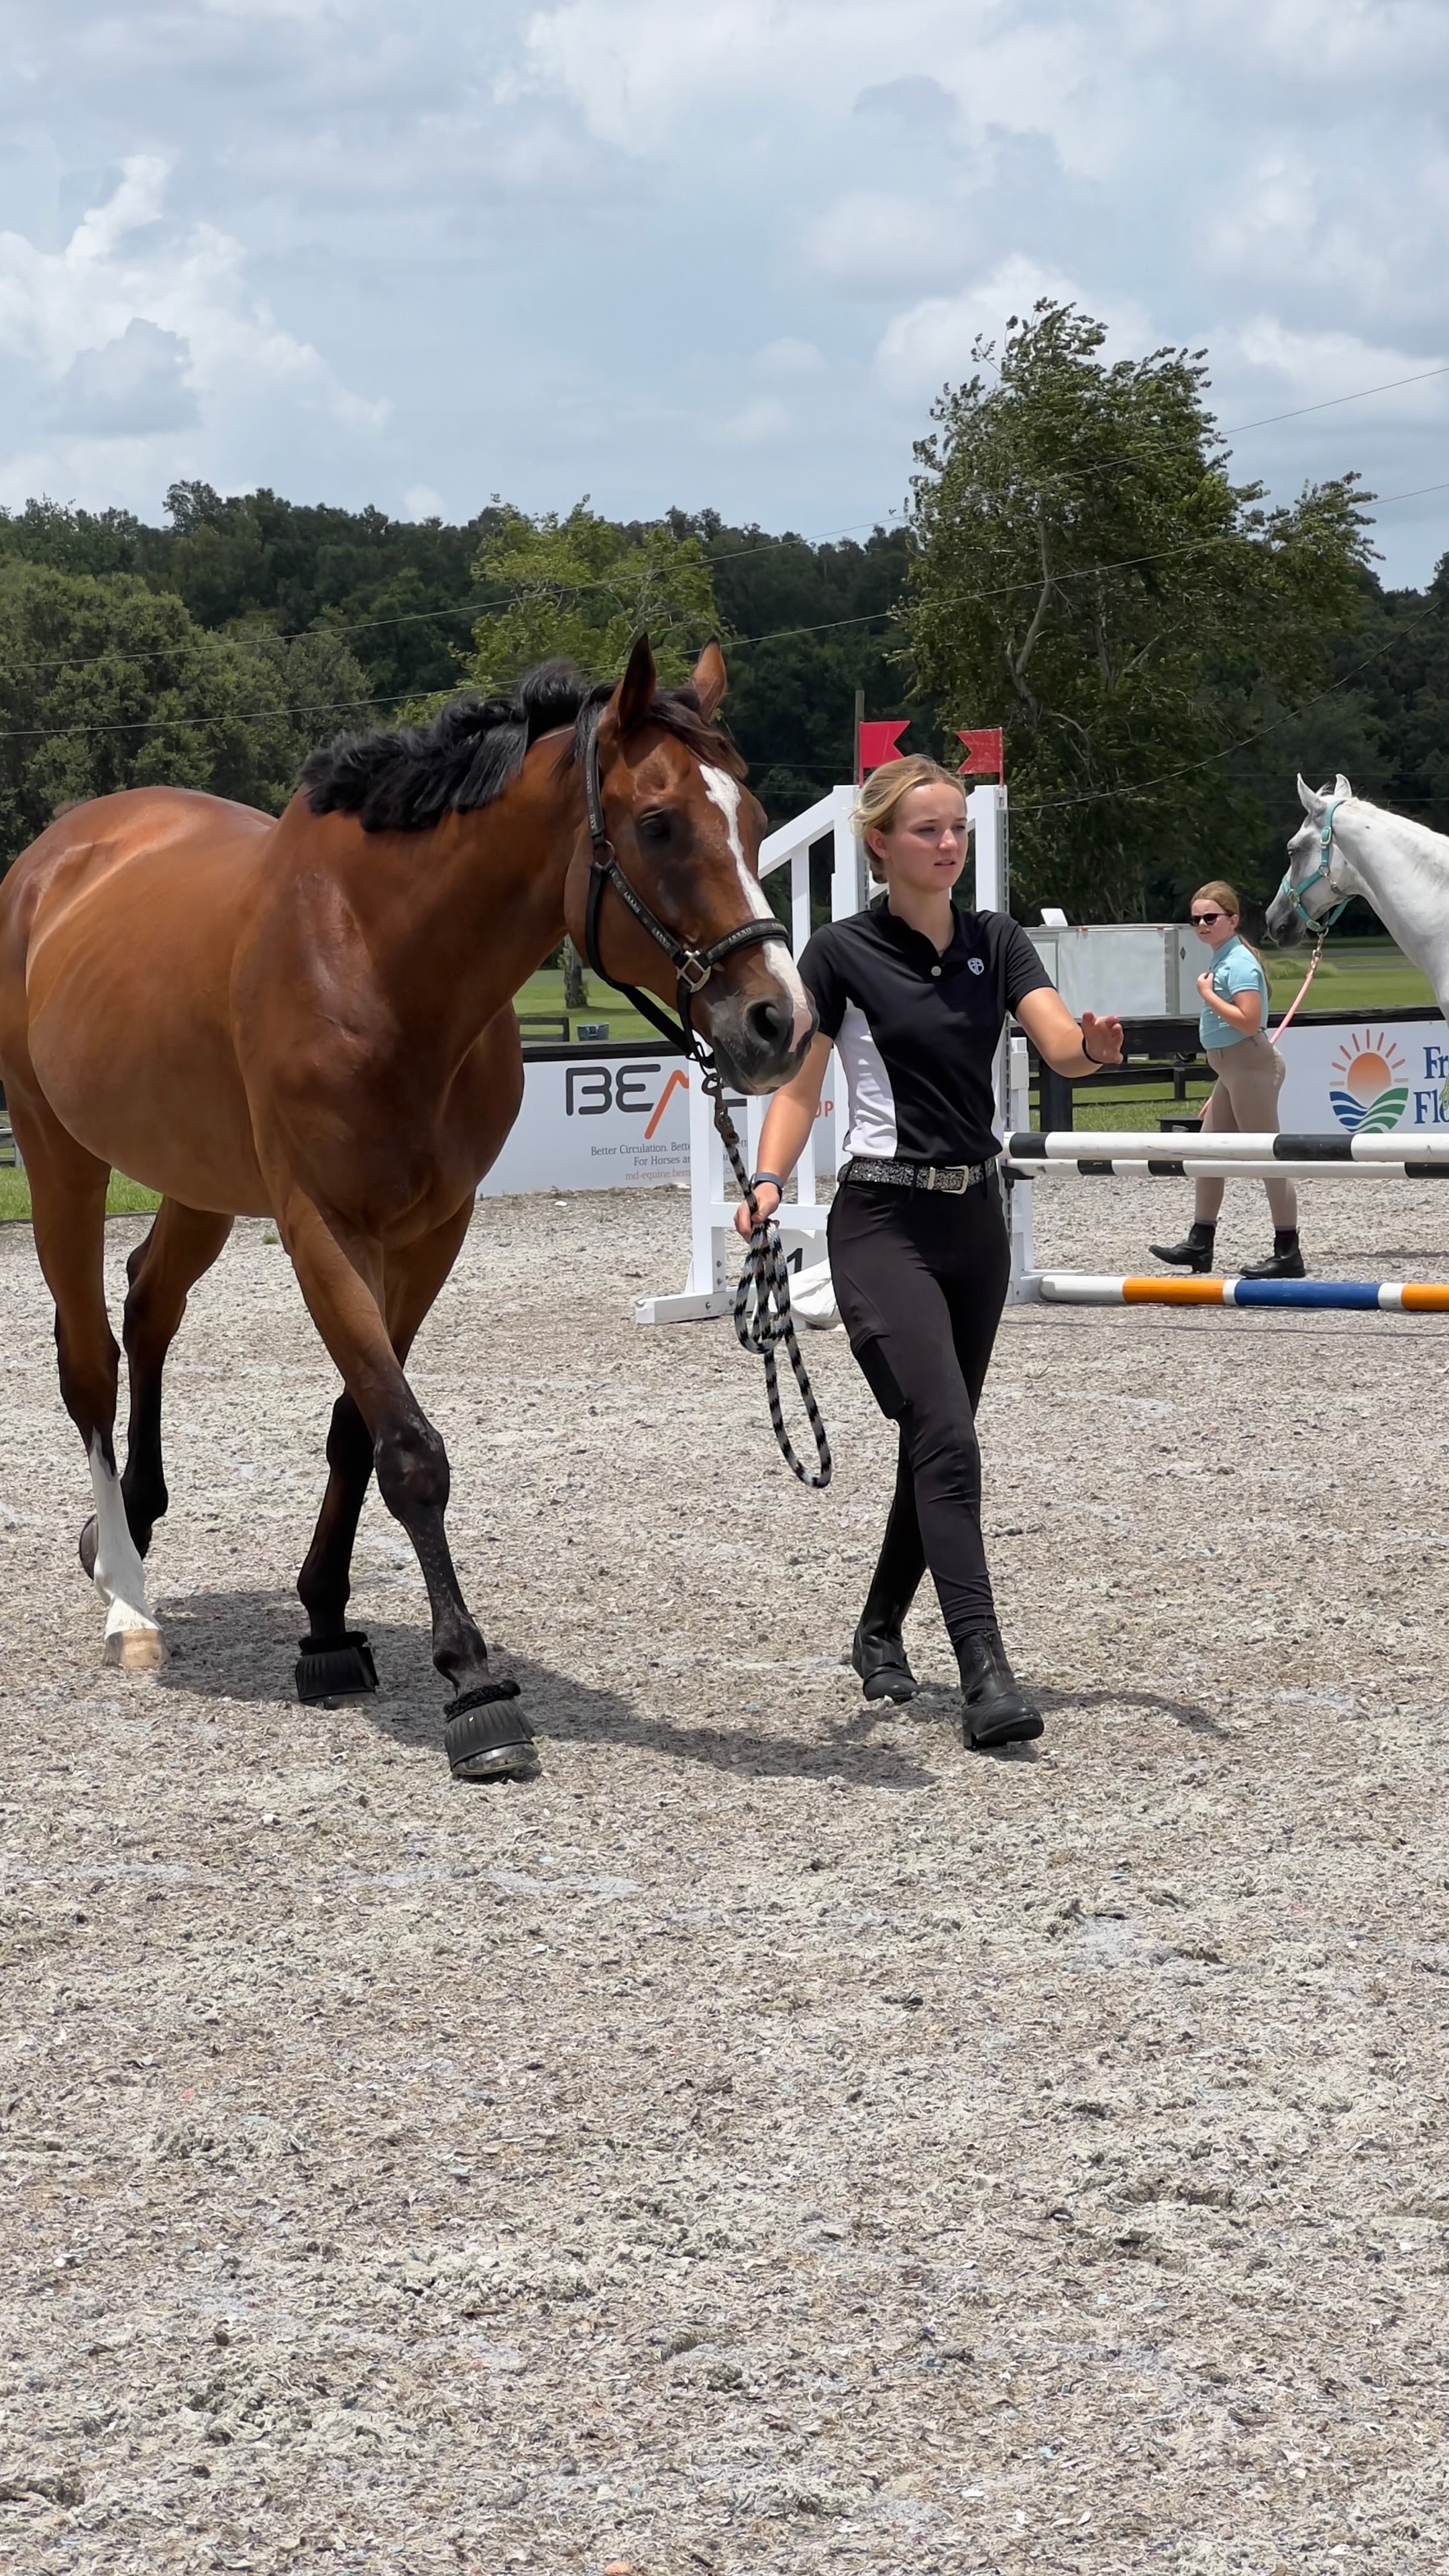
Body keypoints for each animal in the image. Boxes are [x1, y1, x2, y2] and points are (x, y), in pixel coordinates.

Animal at [0, 636, 815, 1783]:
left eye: (752, 818)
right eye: (660, 824)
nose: (780, 1021)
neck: (381, 961)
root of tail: (57, 856)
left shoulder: (433, 1233)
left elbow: (359, 1428)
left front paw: (327, 1627)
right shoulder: (321, 1229)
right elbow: (411, 1450)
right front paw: (473, 1684)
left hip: (198, 1179)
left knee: (150, 1301)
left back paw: (139, 1523)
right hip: (59, 1158)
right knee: (90, 1363)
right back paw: (128, 1598)